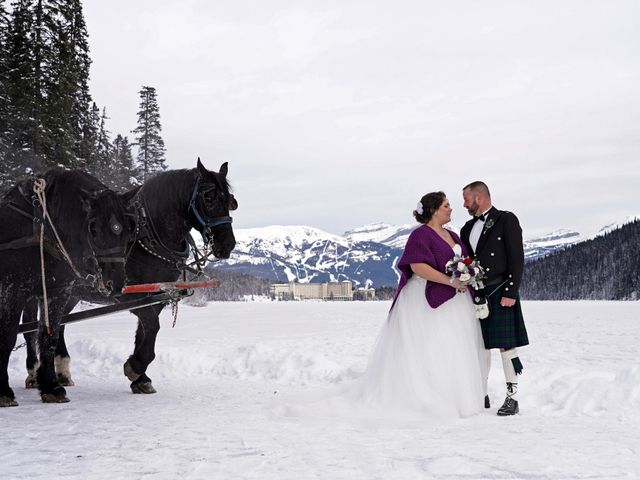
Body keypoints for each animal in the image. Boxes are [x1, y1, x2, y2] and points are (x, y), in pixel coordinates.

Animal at [0, 171, 134, 406]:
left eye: (127, 229)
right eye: (93, 228)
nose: (115, 283)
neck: (41, 231)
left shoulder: (57, 291)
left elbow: (48, 337)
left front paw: (50, 386)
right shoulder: (12, 290)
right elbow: (8, 337)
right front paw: (3, 391)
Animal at [23, 159, 238, 396]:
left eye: (230, 200)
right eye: (208, 197)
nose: (228, 245)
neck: (148, 237)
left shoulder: (156, 296)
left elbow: (144, 333)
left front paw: (141, 377)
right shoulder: (126, 295)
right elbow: (152, 327)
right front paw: (135, 366)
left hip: (71, 293)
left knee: (58, 324)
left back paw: (62, 372)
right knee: (30, 329)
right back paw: (34, 373)